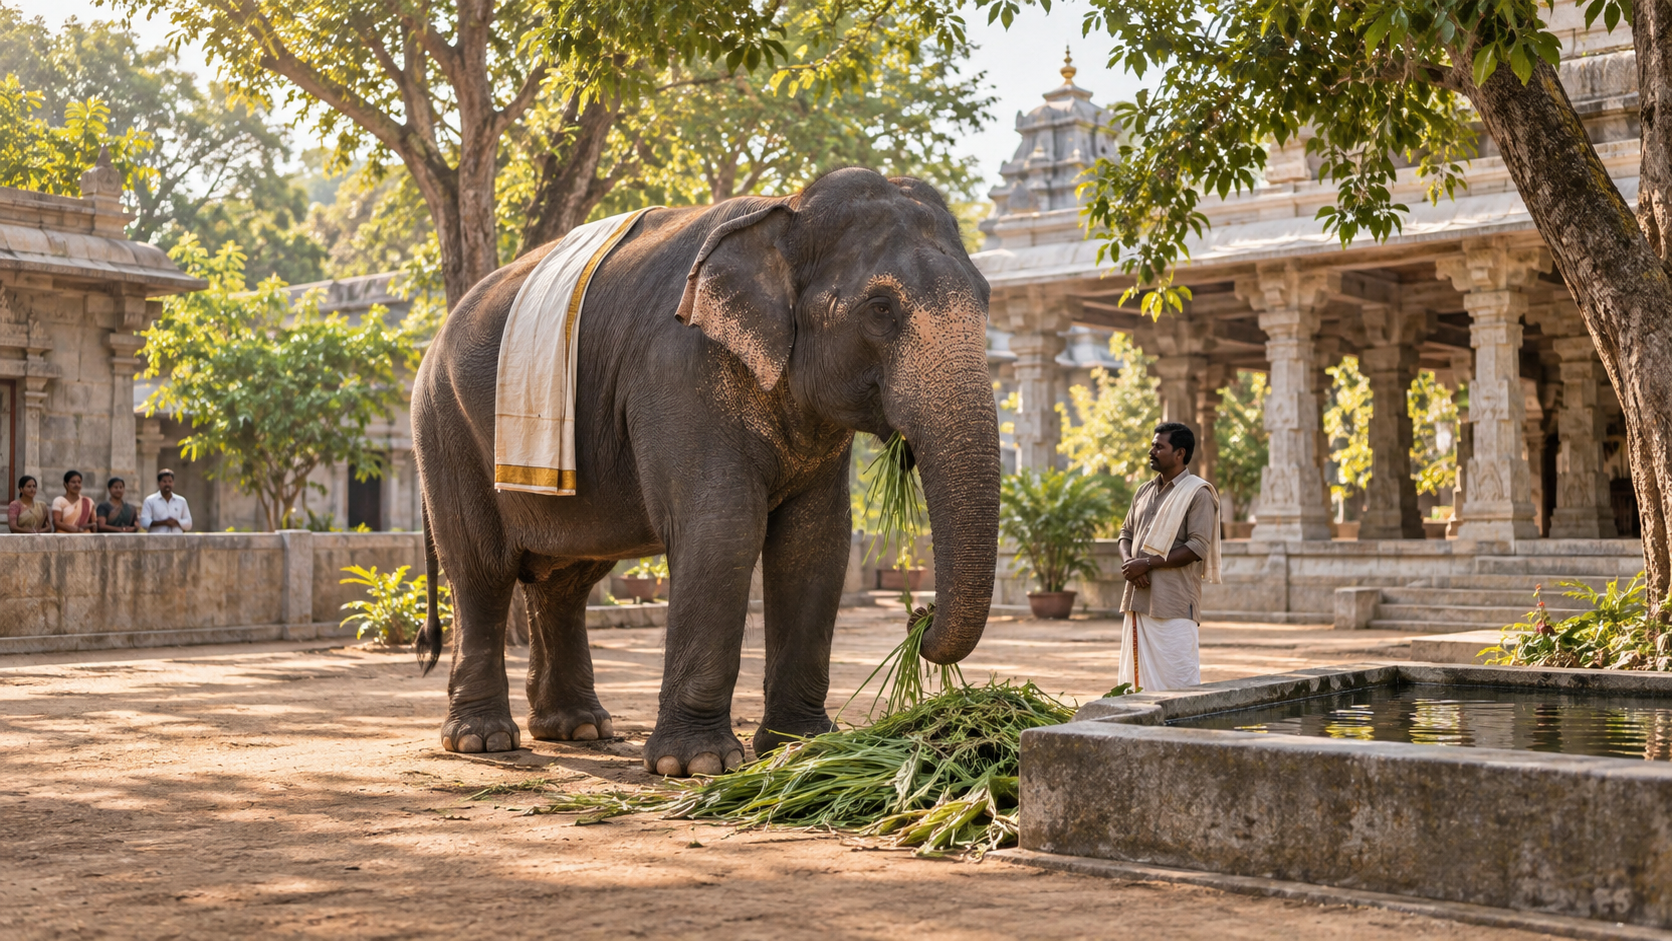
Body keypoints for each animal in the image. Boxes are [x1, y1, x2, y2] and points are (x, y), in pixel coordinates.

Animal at [410, 167, 1000, 776]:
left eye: (986, 300)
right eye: (881, 308)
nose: (918, 616)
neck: (786, 208)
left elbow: (816, 542)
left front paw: (804, 747)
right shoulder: (676, 370)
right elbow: (723, 528)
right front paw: (697, 766)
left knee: (566, 579)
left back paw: (578, 729)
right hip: (446, 426)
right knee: (482, 569)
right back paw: (482, 741)